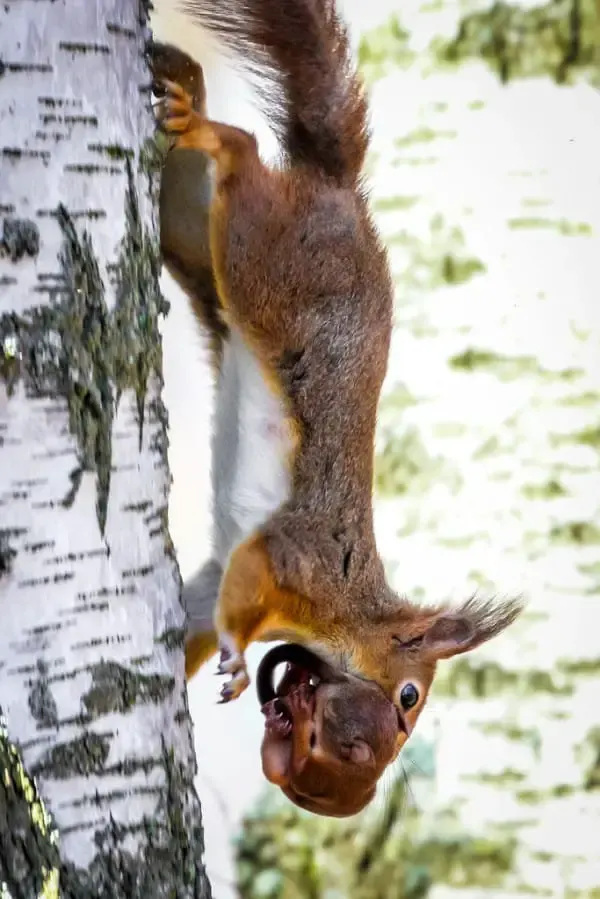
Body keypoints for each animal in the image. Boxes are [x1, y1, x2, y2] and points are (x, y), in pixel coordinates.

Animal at [152, 0, 524, 820]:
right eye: (410, 696)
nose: (394, 737)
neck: (353, 612)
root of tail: (342, 188)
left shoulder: (227, 573)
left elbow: (203, 608)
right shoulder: (300, 559)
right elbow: (250, 590)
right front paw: (236, 658)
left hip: (207, 257)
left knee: (193, 206)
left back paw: (177, 91)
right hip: (266, 262)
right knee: (243, 152)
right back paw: (207, 125)